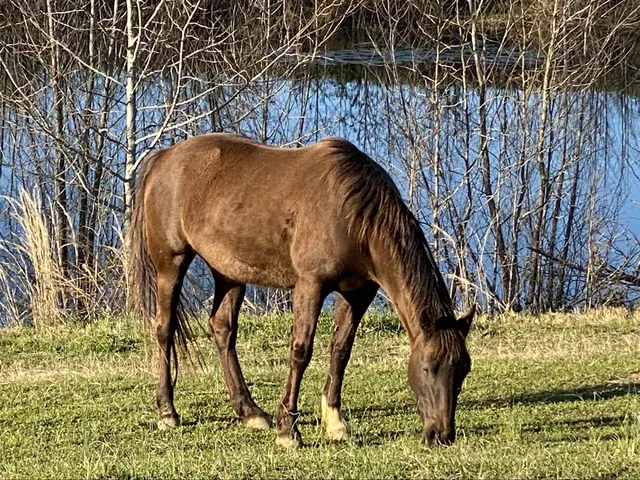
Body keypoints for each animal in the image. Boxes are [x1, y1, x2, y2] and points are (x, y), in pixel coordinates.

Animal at [128, 133, 475, 448]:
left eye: (463, 371)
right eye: (428, 368)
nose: (442, 435)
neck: (352, 214)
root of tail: (165, 157)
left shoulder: (359, 292)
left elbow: (341, 350)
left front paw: (334, 423)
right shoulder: (310, 285)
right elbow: (301, 352)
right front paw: (289, 432)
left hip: (228, 271)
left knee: (222, 329)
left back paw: (250, 411)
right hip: (171, 263)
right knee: (164, 328)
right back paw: (167, 413)